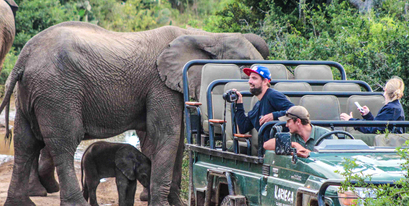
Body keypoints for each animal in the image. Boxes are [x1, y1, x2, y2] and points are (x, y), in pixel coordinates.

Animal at [1, 21, 262, 205]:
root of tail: (23, 57)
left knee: (25, 143)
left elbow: (178, 140)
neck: (207, 36)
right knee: (63, 144)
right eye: (244, 68)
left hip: (31, 93)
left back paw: (21, 203)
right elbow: (166, 134)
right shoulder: (160, 85)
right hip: (57, 92)